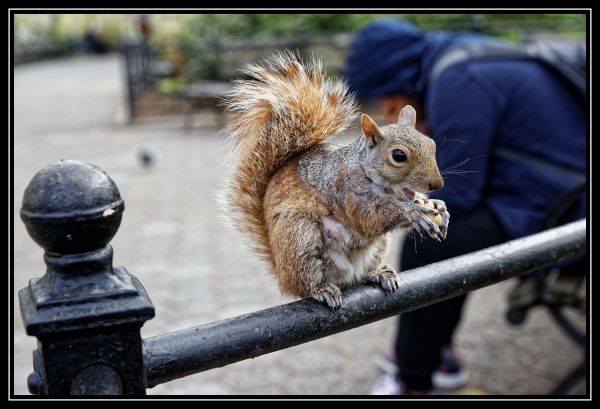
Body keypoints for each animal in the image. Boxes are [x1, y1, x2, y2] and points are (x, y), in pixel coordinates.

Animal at [223, 53, 448, 310]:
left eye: (431, 143)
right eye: (399, 155)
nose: (436, 185)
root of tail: (281, 274)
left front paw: (439, 207)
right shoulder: (346, 190)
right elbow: (369, 217)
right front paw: (414, 213)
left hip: (376, 248)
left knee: (359, 275)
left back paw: (379, 273)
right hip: (301, 240)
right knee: (305, 285)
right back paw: (322, 289)